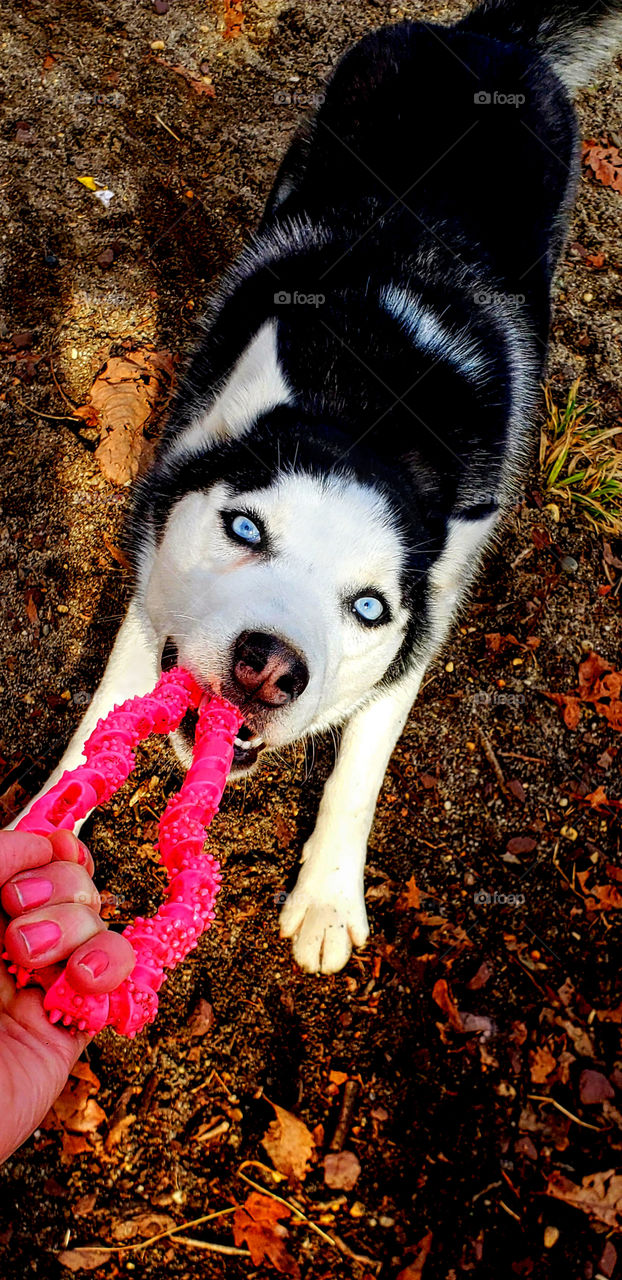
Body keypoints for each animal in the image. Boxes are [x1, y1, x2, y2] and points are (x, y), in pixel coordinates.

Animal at [18, 0, 622, 967]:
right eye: (245, 529)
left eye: (370, 607)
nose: (269, 669)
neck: (374, 408)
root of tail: (488, 38)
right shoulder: (155, 585)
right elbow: (104, 712)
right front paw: (42, 831)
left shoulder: (429, 621)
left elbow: (362, 763)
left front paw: (330, 896)